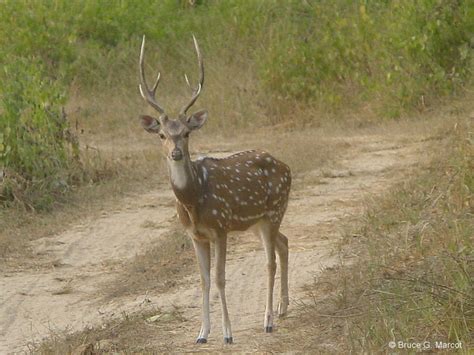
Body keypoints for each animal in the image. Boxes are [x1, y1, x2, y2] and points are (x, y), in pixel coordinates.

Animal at [137, 35, 290, 344]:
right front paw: (202, 333)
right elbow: (204, 280)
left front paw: (228, 334)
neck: (193, 200)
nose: (176, 153)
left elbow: (220, 278)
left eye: (186, 133)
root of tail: (288, 167)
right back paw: (283, 309)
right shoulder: (195, 235)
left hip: (274, 211)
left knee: (270, 261)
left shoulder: (220, 228)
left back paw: (268, 320)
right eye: (161, 135)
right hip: (257, 222)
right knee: (285, 242)